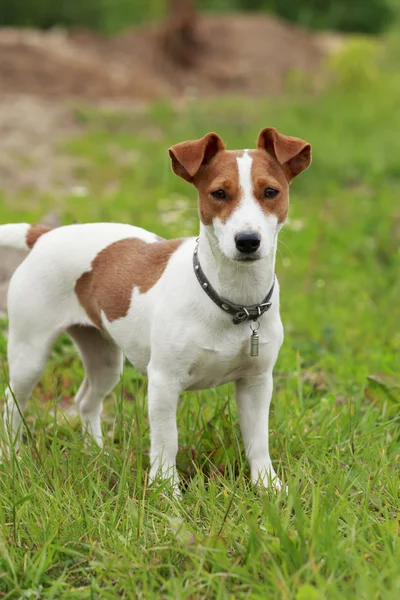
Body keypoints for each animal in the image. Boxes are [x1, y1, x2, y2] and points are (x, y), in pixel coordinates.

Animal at [0, 129, 310, 490]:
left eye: (271, 192)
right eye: (218, 193)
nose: (247, 240)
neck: (231, 301)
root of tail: (45, 235)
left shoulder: (256, 382)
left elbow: (258, 440)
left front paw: (269, 487)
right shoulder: (163, 382)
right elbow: (166, 442)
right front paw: (166, 491)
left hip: (105, 359)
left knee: (86, 401)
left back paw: (97, 453)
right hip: (30, 354)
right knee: (12, 403)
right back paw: (14, 458)